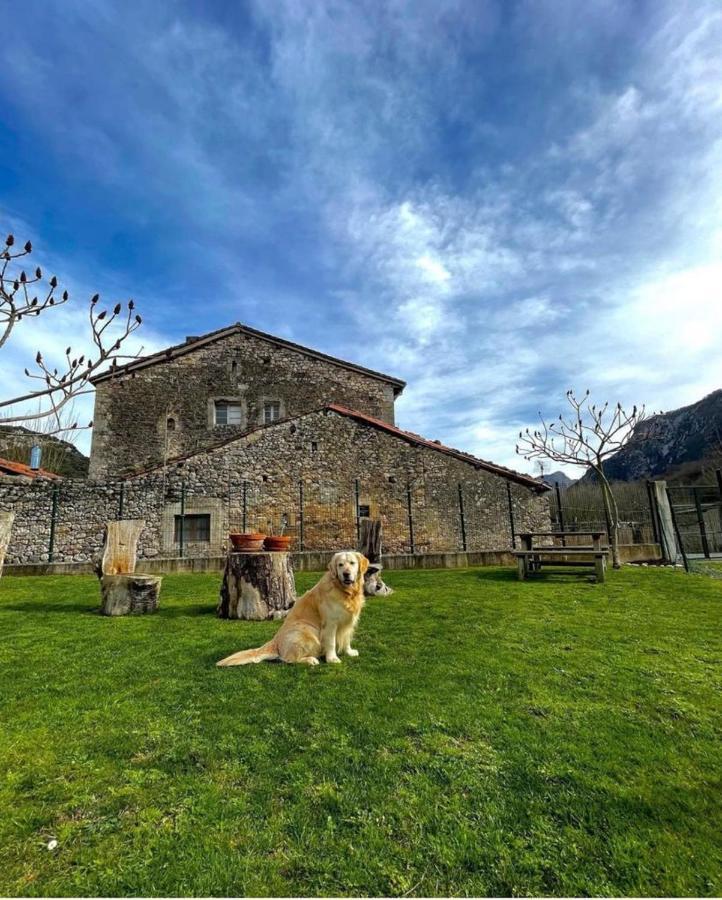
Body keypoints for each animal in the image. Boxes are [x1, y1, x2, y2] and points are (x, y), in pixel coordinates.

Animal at [217, 548, 368, 668]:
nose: (346, 574)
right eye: (340, 565)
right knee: (288, 659)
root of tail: (275, 641)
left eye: (352, 563)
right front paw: (332, 658)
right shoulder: (330, 623)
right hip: (307, 631)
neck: (346, 592)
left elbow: (347, 639)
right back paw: (310, 659)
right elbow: (331, 642)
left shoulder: (349, 621)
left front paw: (349, 652)